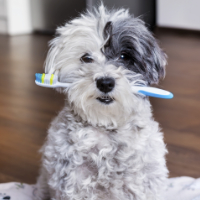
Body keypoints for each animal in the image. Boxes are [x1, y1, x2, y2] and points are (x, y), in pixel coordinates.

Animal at [34, 3, 167, 200]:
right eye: (86, 58)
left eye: (124, 57)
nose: (105, 82)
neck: (106, 125)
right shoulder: (74, 182)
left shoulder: (144, 184)